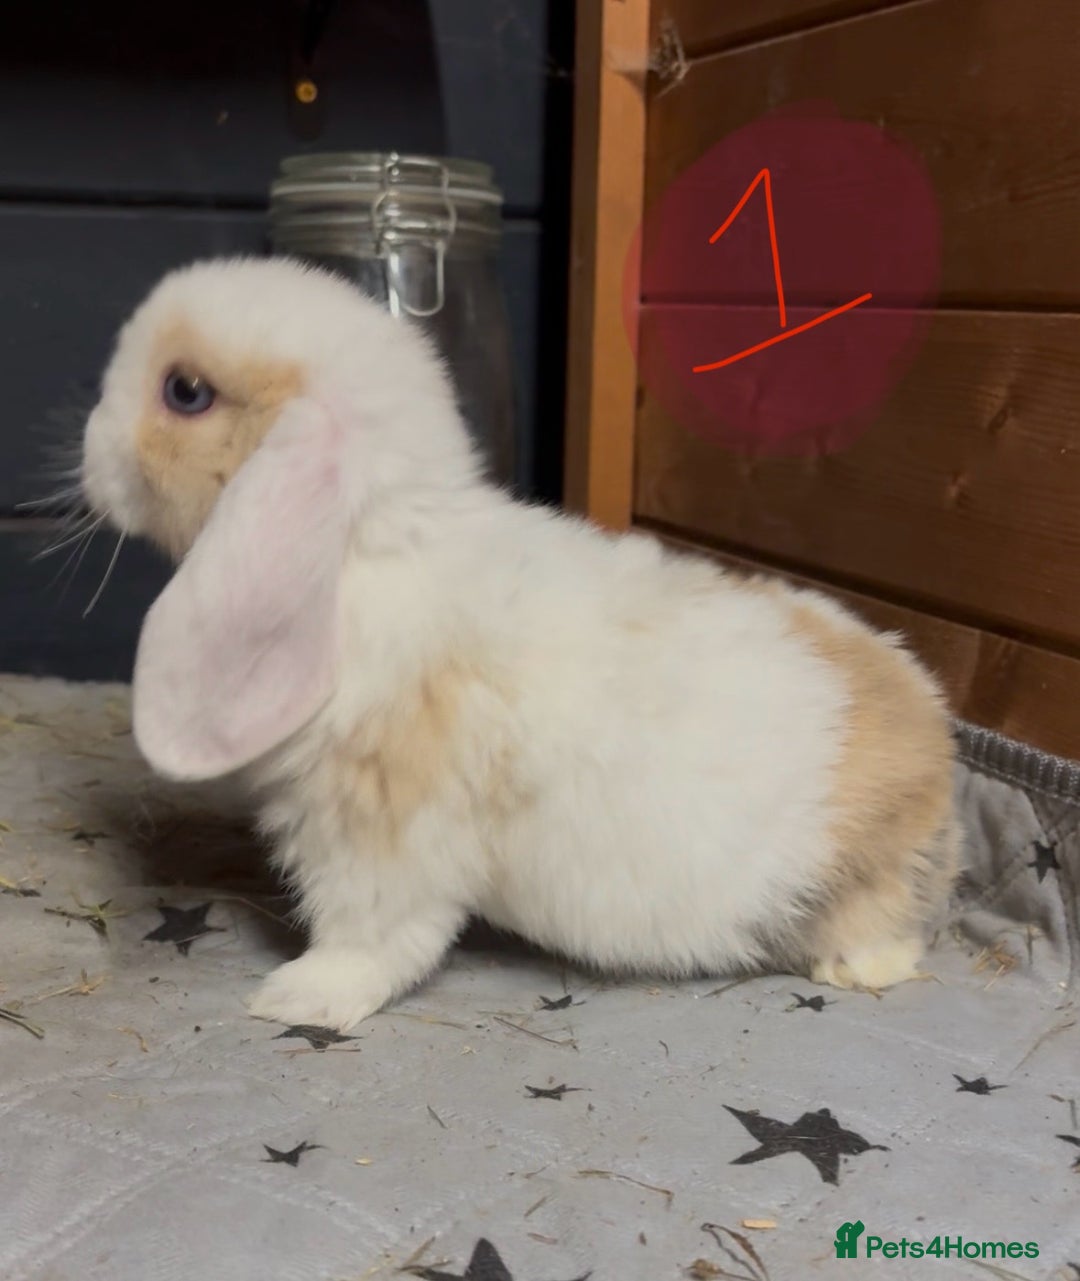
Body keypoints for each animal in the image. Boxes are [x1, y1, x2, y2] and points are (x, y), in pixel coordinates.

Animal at [81, 256, 960, 1032]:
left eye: (185, 391)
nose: (90, 444)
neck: (364, 552)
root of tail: (934, 722)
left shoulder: (376, 834)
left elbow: (375, 936)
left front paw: (298, 997)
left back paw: (850, 967)